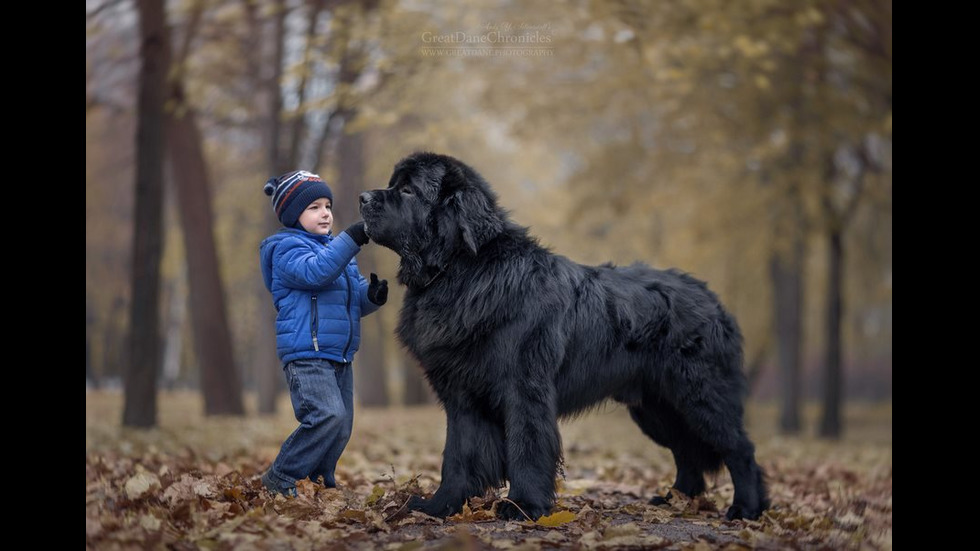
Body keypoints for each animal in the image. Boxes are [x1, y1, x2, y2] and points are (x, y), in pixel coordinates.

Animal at [356, 151, 768, 520]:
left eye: (408, 190)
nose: (362, 198)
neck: (463, 271)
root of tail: (711, 297)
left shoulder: (524, 389)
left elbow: (526, 447)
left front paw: (523, 506)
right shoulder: (462, 396)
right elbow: (457, 456)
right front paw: (438, 507)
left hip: (700, 394)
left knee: (739, 448)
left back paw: (746, 508)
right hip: (656, 407)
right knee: (686, 451)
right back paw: (675, 500)